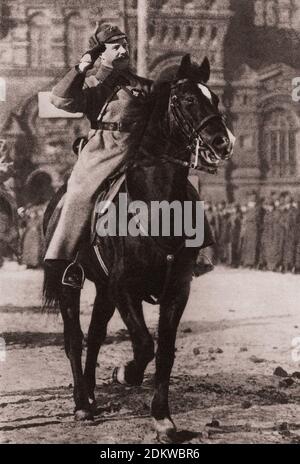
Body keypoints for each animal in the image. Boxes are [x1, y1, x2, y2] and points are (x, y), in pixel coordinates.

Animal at [42, 55, 234, 442]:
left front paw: (163, 418)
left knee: (95, 336)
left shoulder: (175, 289)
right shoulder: (124, 287)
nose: (223, 143)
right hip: (71, 283)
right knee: (74, 338)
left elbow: (164, 352)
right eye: (187, 100)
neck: (156, 204)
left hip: (103, 289)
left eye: (216, 98)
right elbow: (144, 344)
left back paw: (90, 395)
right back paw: (81, 403)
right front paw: (125, 373)